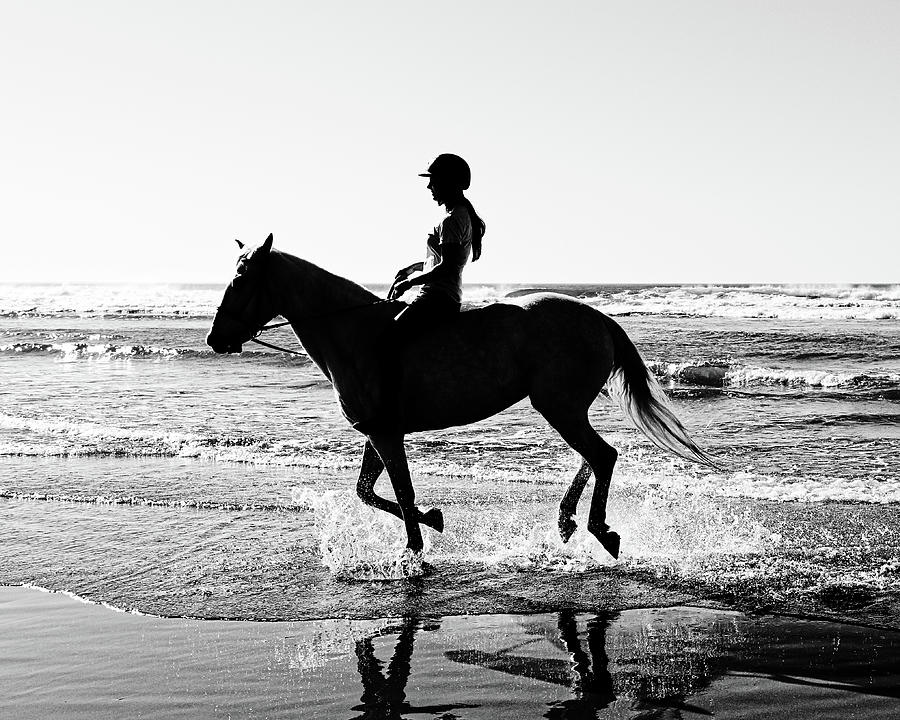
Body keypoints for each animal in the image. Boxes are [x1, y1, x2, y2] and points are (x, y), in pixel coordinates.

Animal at [207, 233, 712, 560]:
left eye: (242, 281)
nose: (216, 338)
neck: (356, 334)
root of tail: (597, 317)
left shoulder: (387, 434)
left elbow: (401, 492)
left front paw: (413, 553)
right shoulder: (378, 432)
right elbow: (368, 492)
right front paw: (432, 520)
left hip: (559, 408)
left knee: (602, 456)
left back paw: (598, 529)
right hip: (563, 408)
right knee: (593, 456)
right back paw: (569, 521)